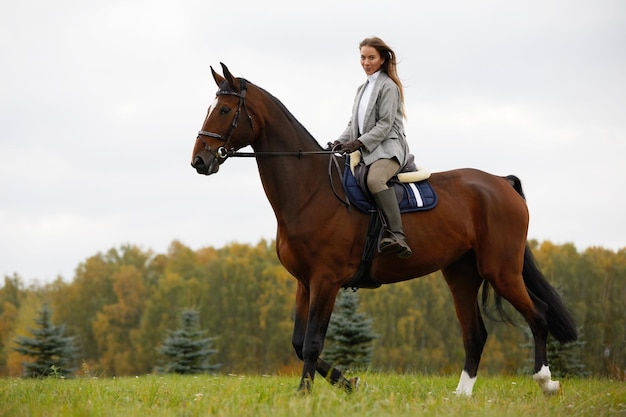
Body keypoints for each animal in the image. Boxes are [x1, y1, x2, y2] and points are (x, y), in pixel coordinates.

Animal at [189, 63, 576, 394]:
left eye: (224, 110)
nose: (199, 160)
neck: (311, 189)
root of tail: (500, 182)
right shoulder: (304, 282)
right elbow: (299, 344)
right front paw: (349, 384)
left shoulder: (326, 280)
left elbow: (312, 343)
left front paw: (306, 393)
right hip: (461, 274)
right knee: (475, 334)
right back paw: (462, 395)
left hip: (501, 270)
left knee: (538, 315)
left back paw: (546, 382)